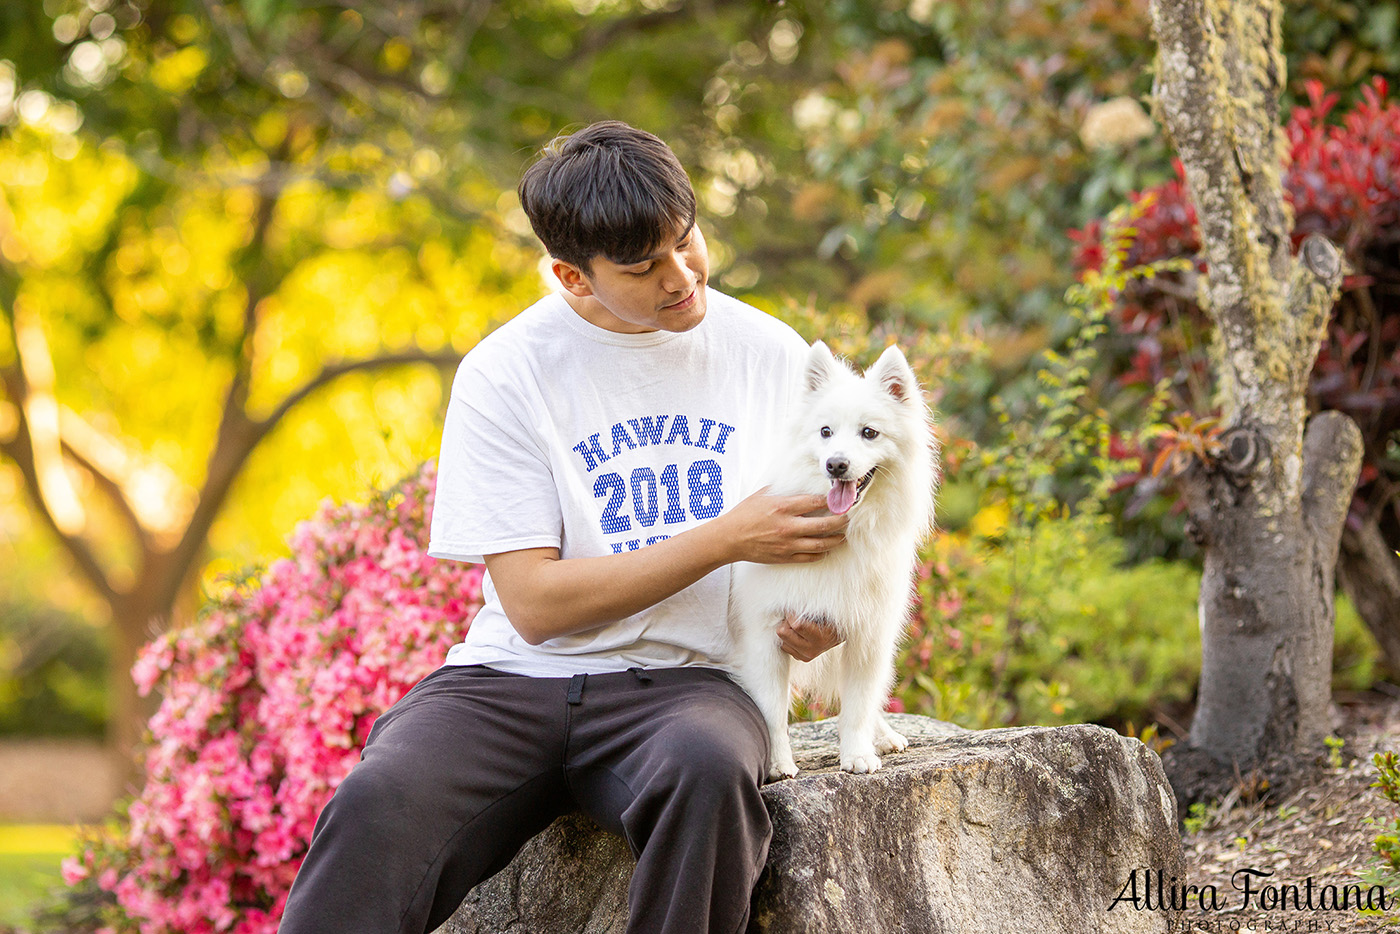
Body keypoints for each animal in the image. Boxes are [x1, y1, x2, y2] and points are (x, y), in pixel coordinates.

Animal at [728, 340, 935, 778]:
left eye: (869, 433)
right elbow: (772, 713)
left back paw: (883, 736)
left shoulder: (865, 634)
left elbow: (857, 708)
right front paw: (778, 764)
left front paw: (857, 754)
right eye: (825, 432)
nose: (836, 464)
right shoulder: (766, 633)